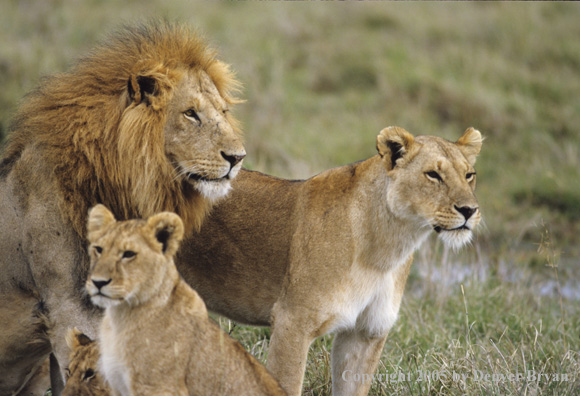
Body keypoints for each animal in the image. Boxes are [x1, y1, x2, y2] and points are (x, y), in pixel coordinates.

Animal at [179, 127, 482, 396]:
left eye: (469, 175)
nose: (469, 210)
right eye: (433, 175)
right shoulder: (292, 322)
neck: (387, 248)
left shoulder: (366, 333)